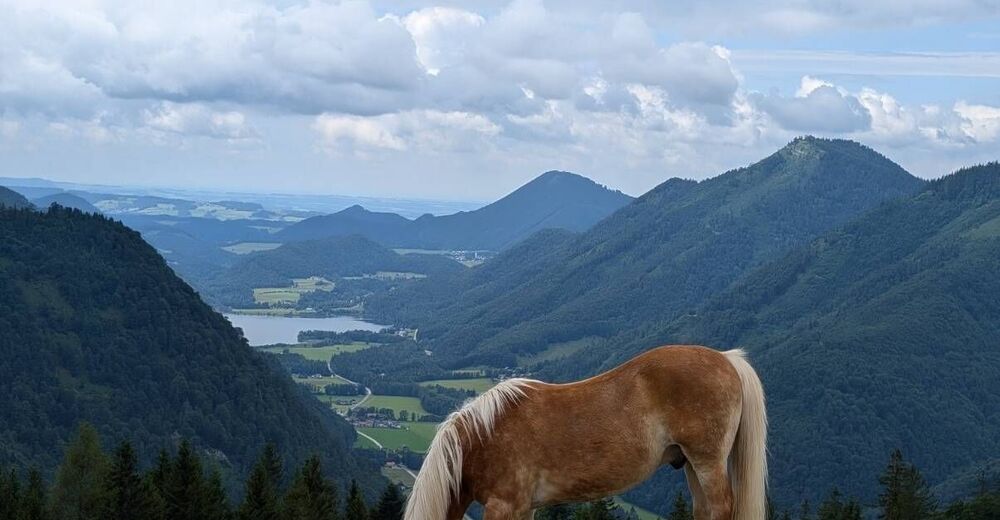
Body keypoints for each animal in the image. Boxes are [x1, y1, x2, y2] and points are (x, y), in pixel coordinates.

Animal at [402, 346, 768, 520]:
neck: (481, 439)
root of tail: (726, 359)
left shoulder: (503, 506)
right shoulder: (523, 508)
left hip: (708, 463)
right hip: (692, 464)